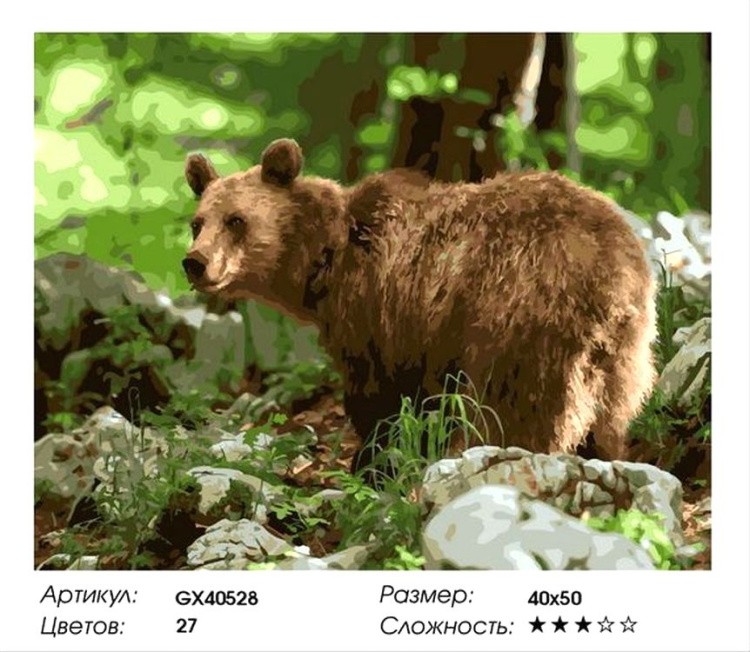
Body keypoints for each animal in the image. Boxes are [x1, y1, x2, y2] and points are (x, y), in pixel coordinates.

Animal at [182, 138, 657, 475]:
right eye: (197, 222)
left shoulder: (378, 315)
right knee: (610, 416)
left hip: (519, 317)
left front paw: (373, 463)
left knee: (517, 409)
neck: (327, 260)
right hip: (623, 352)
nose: (195, 262)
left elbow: (381, 399)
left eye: (237, 220)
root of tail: (615, 271)